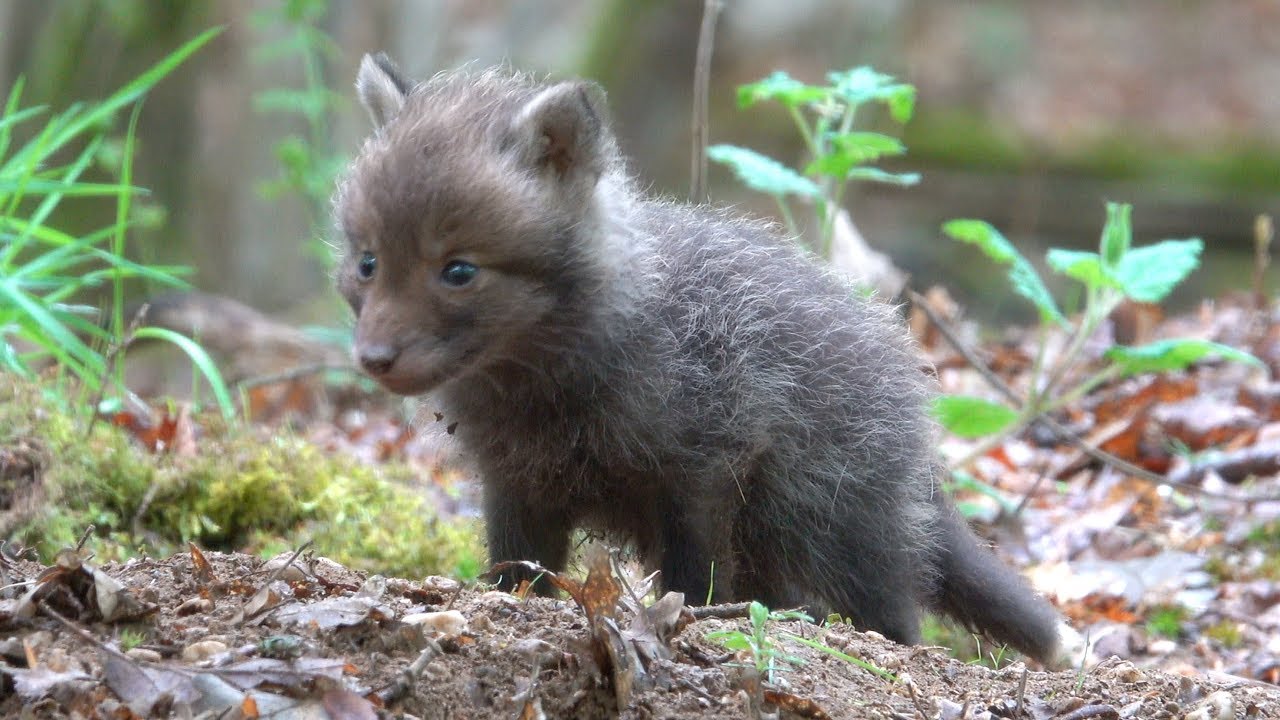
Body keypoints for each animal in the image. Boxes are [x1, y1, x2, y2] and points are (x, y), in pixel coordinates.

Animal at [334, 53, 1077, 666]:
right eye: (368, 263)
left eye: (458, 270)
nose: (373, 359)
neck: (549, 381)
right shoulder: (515, 481)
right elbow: (518, 575)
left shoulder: (703, 466)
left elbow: (694, 579)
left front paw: (692, 625)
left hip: (831, 527)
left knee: (897, 618)